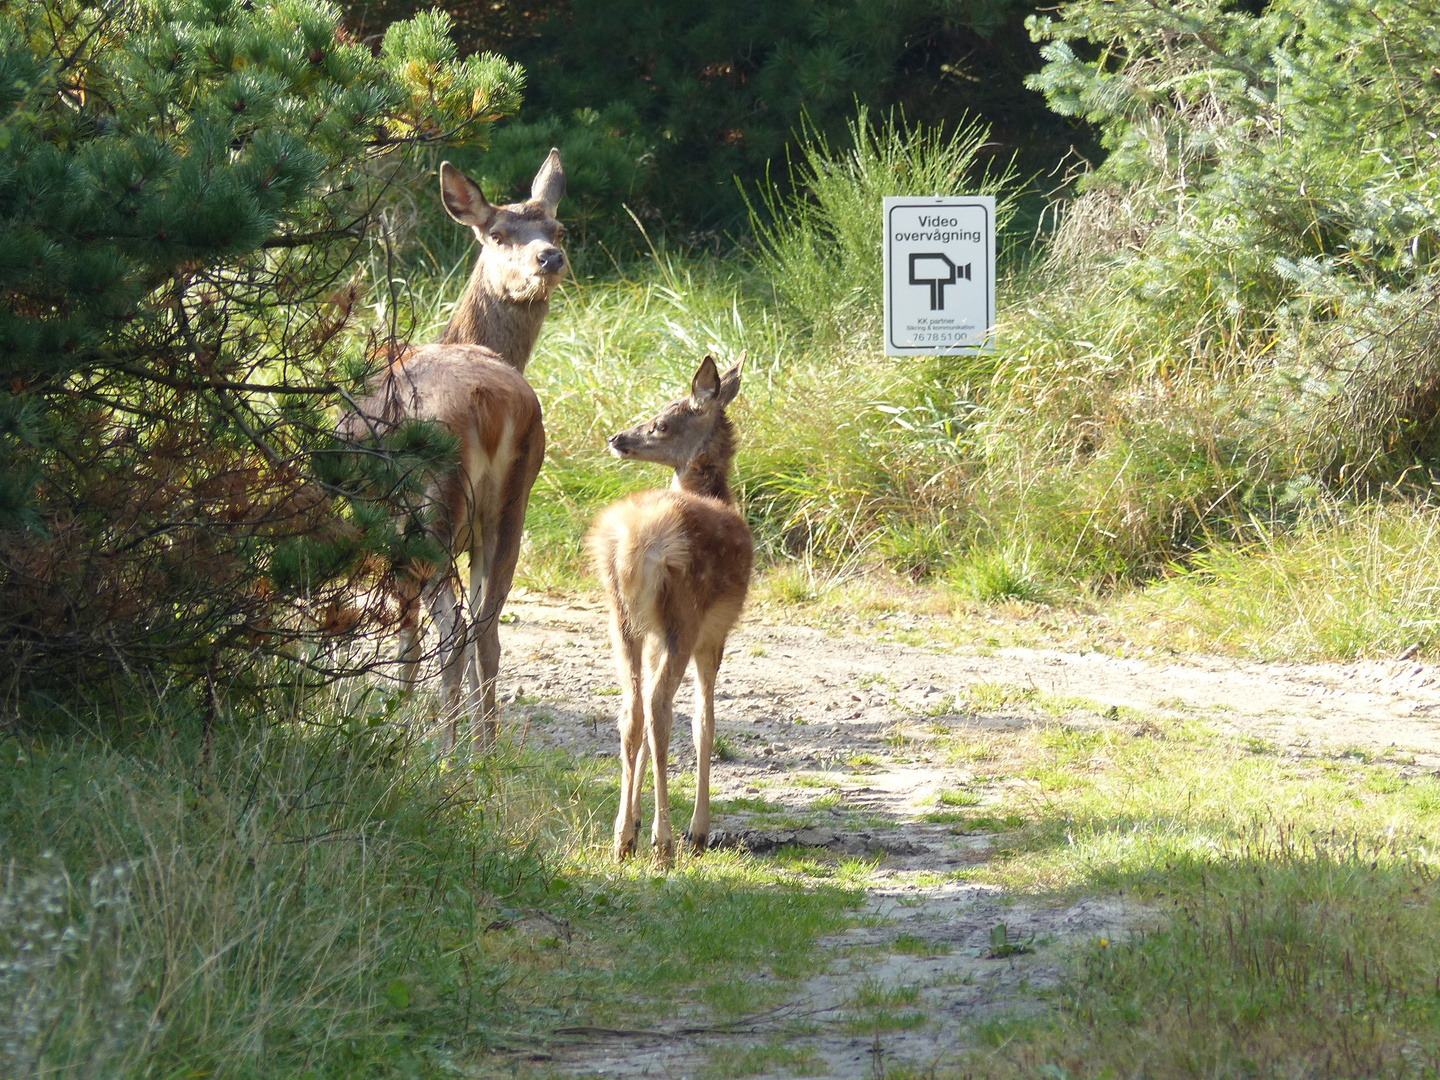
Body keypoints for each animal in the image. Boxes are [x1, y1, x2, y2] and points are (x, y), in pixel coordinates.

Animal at [347, 152, 567, 754]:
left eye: (557, 228)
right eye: (498, 234)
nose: (550, 257)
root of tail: (492, 403)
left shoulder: (387, 528)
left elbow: (405, 632)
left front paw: (400, 712)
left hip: (433, 507)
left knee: (453, 630)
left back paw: (445, 750)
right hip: (511, 507)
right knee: (487, 629)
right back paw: (485, 749)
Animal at [587, 360, 760, 869]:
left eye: (661, 423)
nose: (618, 438)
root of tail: (633, 546)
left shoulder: (652, 636)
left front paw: (635, 818)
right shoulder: (715, 633)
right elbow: (706, 724)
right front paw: (698, 830)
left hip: (621, 620)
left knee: (632, 710)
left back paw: (623, 836)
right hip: (684, 614)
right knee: (661, 710)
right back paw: (665, 843)